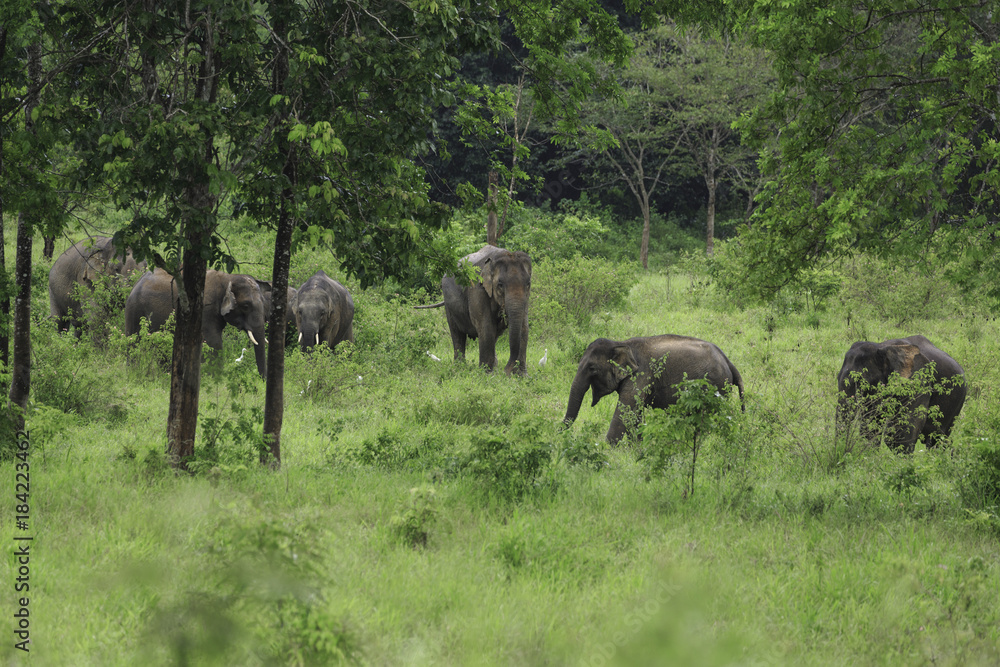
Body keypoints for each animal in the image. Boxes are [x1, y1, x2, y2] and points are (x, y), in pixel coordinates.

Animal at [124, 268, 270, 376]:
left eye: (264, 303)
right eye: (245, 306)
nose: (262, 379)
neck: (228, 278)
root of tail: (137, 282)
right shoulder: (204, 309)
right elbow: (213, 341)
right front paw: (215, 377)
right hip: (135, 309)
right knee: (133, 341)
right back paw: (133, 371)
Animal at [416, 245, 531, 375]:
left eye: (528, 283)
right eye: (500, 284)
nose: (506, 371)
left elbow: (524, 327)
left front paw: (521, 376)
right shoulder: (477, 288)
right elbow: (486, 327)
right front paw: (487, 375)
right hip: (448, 304)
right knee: (457, 334)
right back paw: (459, 368)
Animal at [563, 334, 745, 445]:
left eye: (592, 368)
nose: (559, 435)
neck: (621, 343)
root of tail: (728, 362)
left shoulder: (641, 375)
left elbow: (625, 411)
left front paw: (607, 448)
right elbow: (634, 413)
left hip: (714, 387)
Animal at [836, 335, 967, 452]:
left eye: (861, 382)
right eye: (837, 377)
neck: (881, 348)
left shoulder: (917, 379)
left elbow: (902, 430)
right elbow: (872, 424)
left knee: (937, 438)